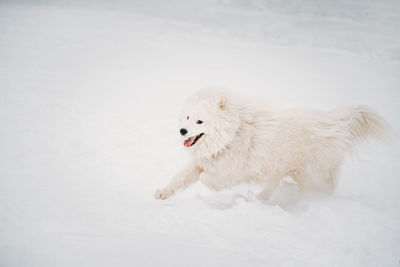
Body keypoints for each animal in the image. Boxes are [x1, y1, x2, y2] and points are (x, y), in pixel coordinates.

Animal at [154, 89, 390, 202]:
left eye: (200, 122)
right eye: (187, 117)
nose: (182, 131)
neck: (233, 134)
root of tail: (337, 123)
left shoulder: (233, 171)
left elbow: (207, 179)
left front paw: (210, 184)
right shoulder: (201, 162)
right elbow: (179, 178)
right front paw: (162, 193)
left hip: (309, 173)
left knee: (322, 188)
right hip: (284, 169)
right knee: (273, 186)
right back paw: (261, 199)